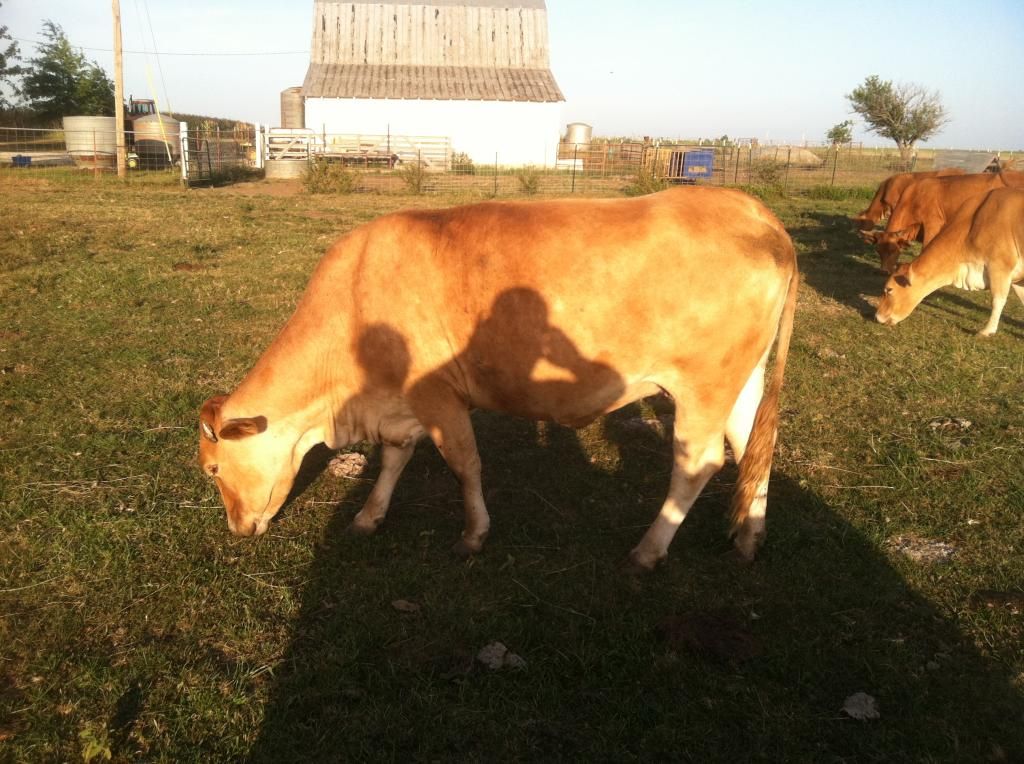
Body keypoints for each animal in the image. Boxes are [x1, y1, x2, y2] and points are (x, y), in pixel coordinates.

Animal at [198, 187, 799, 570]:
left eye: (212, 469)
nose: (236, 527)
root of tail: (753, 211)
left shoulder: (436, 393)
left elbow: (463, 463)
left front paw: (473, 535)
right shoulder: (400, 405)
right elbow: (393, 459)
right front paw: (369, 518)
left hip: (703, 385)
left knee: (700, 465)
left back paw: (647, 552)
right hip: (743, 378)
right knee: (755, 446)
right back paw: (750, 538)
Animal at [876, 187, 1024, 336]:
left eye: (889, 289)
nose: (877, 316)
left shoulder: (1000, 267)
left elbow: (997, 300)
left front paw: (987, 331)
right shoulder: (1018, 278)